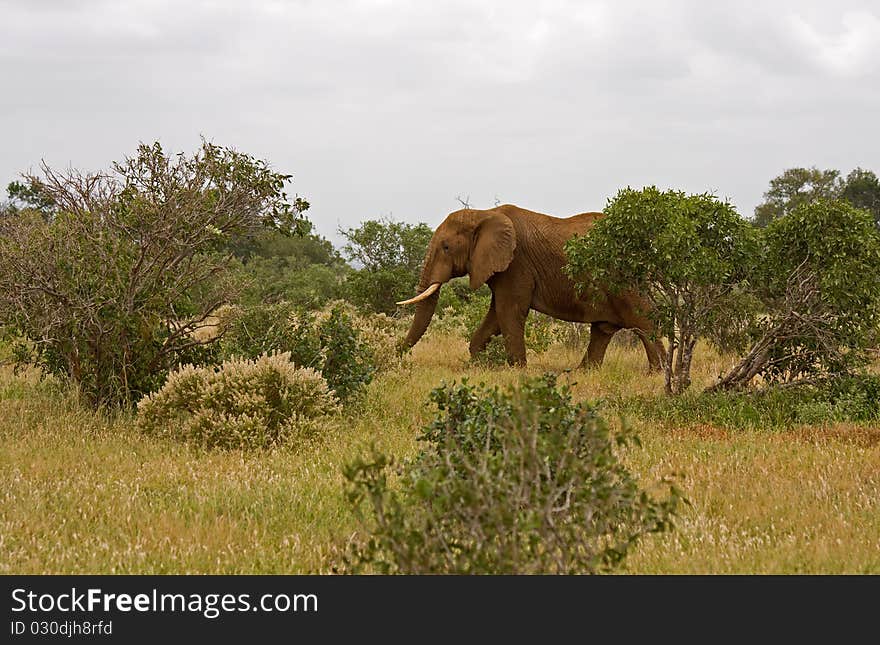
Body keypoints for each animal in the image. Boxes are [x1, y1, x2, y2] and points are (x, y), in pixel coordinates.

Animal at [396, 204, 664, 370]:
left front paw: (517, 369)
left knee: (643, 321)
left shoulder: (516, 264)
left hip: (624, 280)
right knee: (602, 330)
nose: (397, 353)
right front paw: (478, 364)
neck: (485, 213)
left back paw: (656, 374)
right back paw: (583, 372)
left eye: (446, 247)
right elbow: (496, 315)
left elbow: (509, 311)